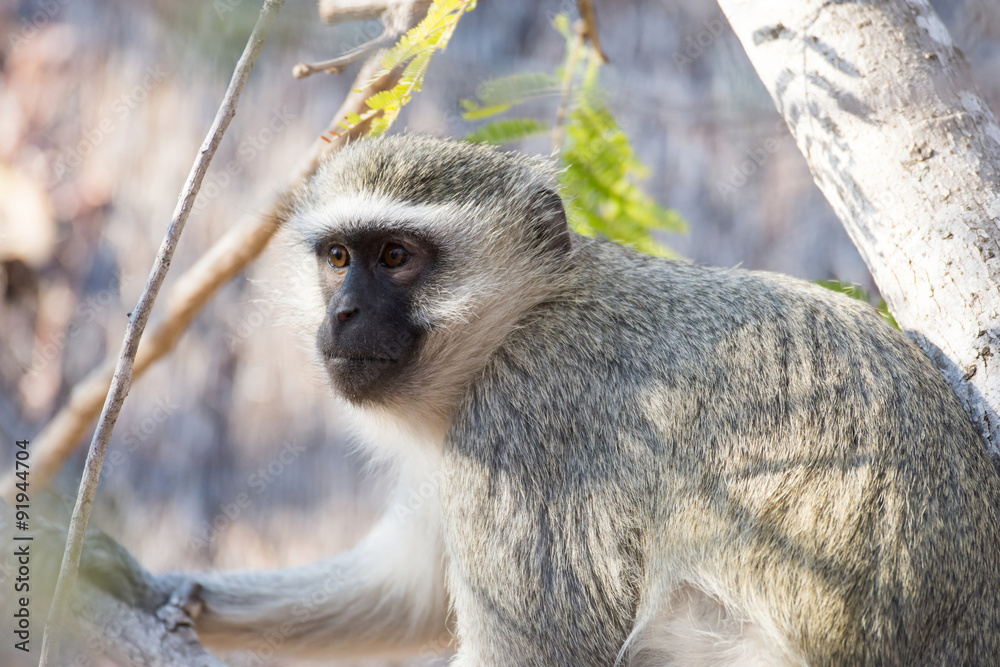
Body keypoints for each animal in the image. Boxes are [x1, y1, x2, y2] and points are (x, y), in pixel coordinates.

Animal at [59, 134, 1000, 665]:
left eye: (397, 257)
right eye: (337, 257)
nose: (345, 313)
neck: (524, 316)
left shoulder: (523, 420)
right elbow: (407, 587)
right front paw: (140, 581)